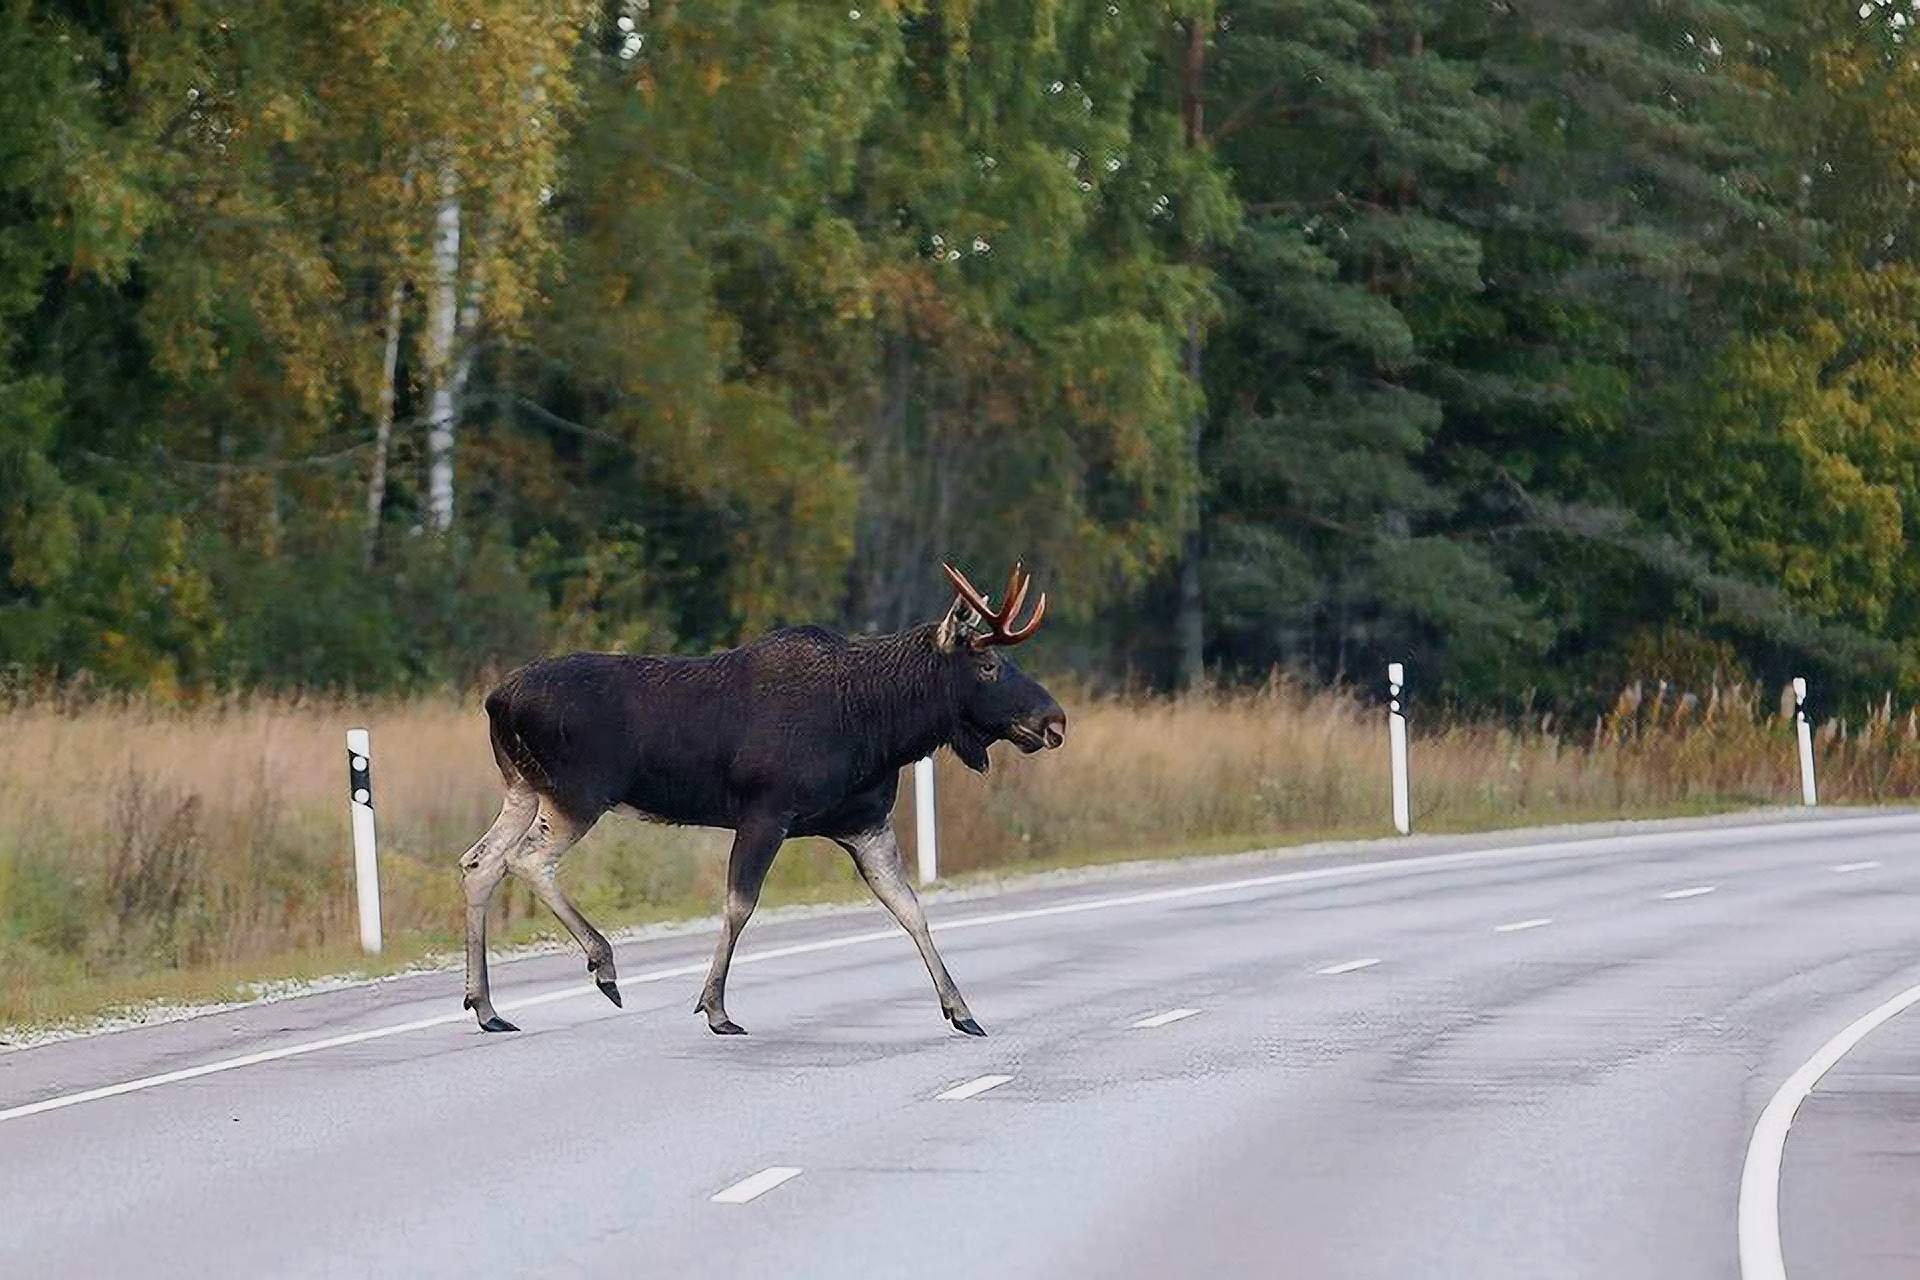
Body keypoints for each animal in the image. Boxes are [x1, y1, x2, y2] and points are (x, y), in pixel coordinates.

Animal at [458, 564, 1075, 1043]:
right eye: (989, 666)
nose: (1055, 721)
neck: (881, 729)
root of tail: (495, 699)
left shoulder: (865, 825)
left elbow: (910, 909)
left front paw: (961, 1010)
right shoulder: (766, 814)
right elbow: (739, 905)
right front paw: (716, 1008)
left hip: (524, 788)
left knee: (479, 863)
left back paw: (486, 1007)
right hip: (577, 794)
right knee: (527, 860)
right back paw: (602, 965)